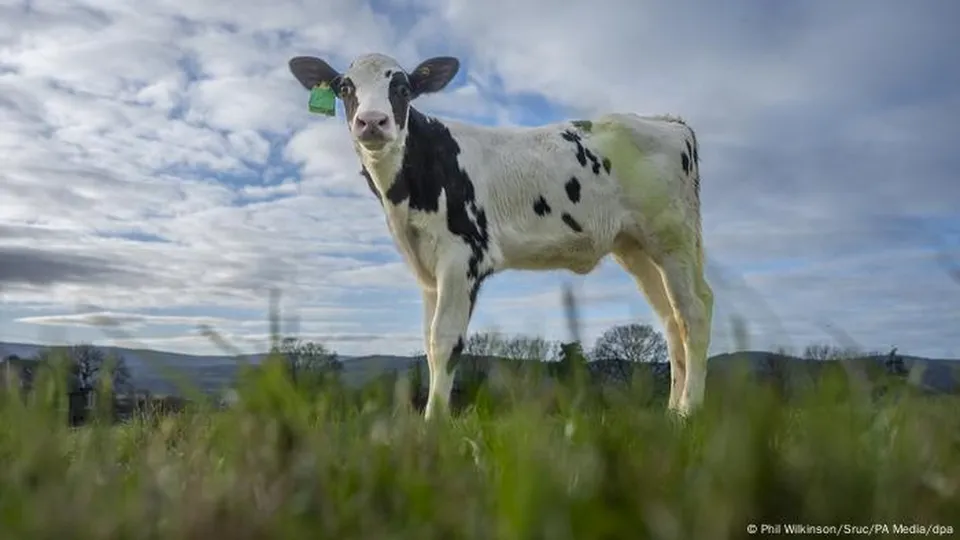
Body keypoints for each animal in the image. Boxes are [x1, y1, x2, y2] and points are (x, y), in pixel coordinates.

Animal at [284, 52, 712, 420]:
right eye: (345, 87)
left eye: (402, 88)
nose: (372, 122)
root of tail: (668, 122)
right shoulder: (427, 269)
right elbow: (427, 341)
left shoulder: (463, 256)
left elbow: (445, 340)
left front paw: (433, 424)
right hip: (636, 246)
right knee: (671, 319)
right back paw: (672, 412)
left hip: (673, 237)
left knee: (695, 311)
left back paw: (690, 412)